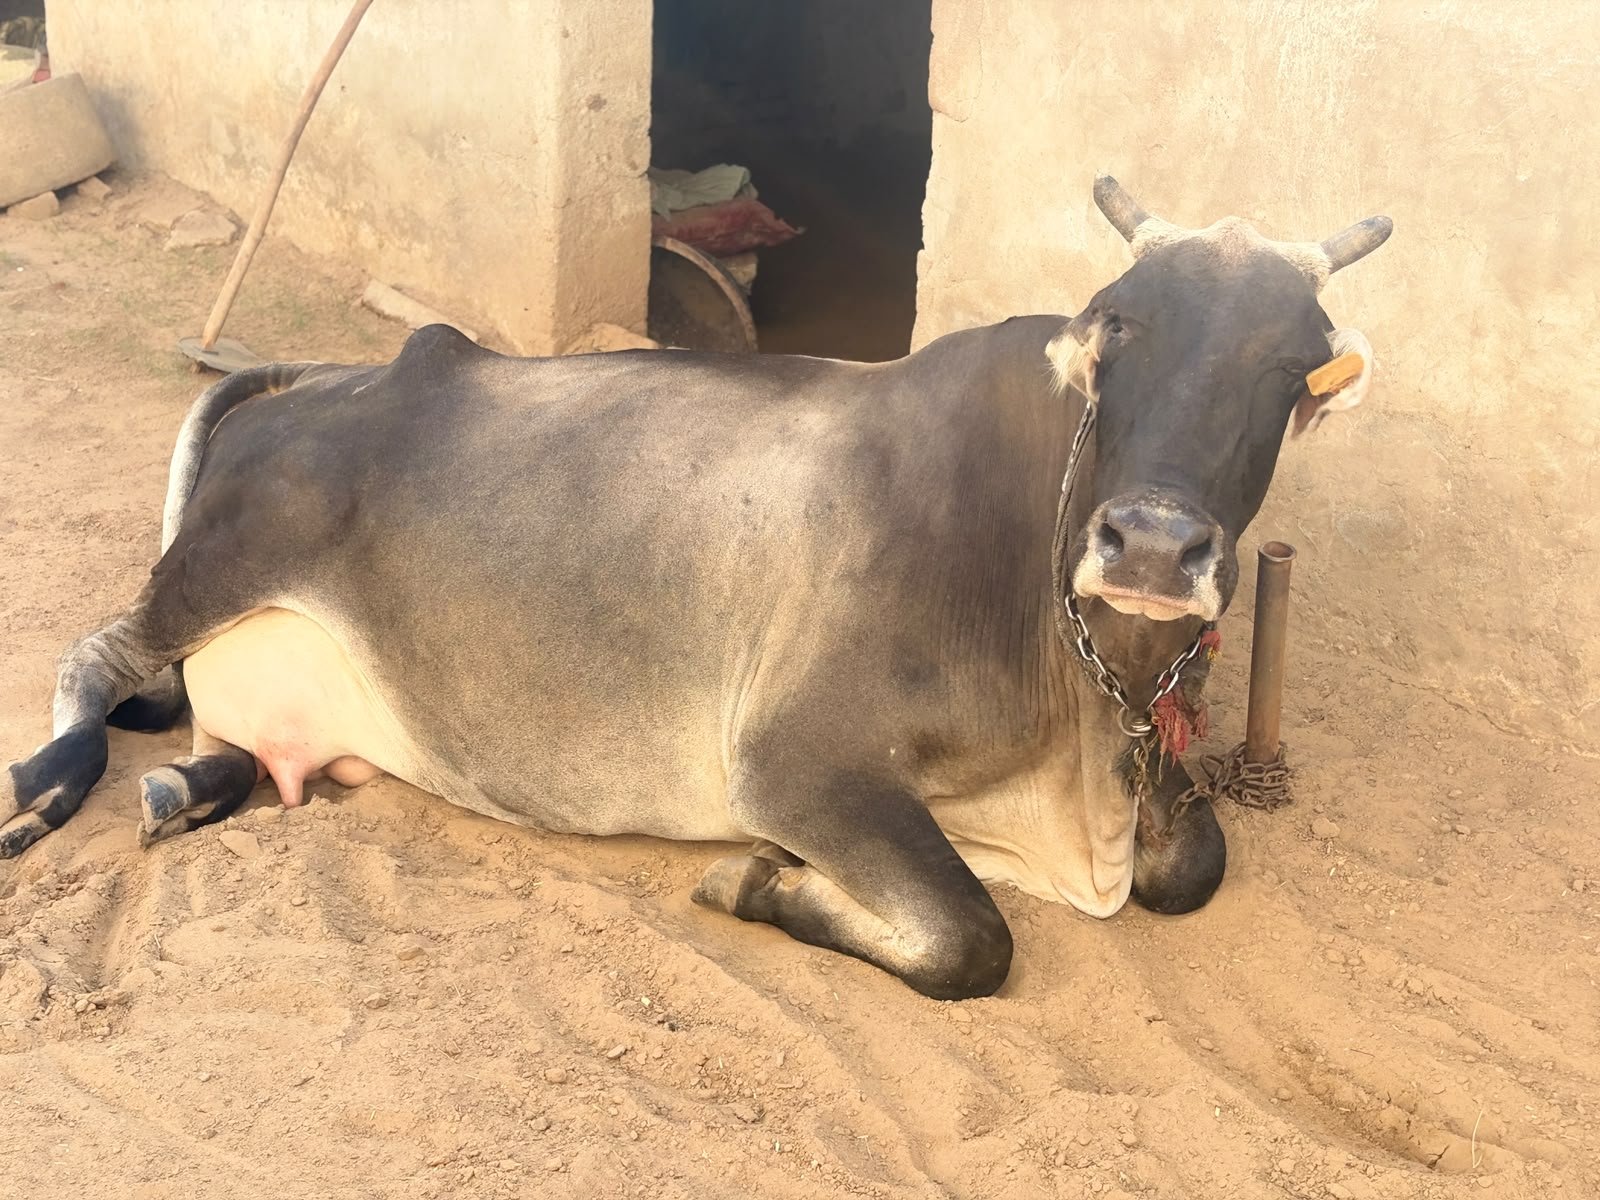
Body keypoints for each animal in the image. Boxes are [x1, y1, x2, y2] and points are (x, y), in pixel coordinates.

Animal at [1, 179, 1390, 1000]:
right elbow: (970, 939)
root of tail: (332, 370)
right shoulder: (792, 763)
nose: (1152, 546)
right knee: (96, 659)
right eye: (1118, 328)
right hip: (220, 557)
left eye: (1295, 368)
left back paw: (188, 789)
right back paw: (53, 785)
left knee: (219, 736)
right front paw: (759, 882)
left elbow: (1191, 864)